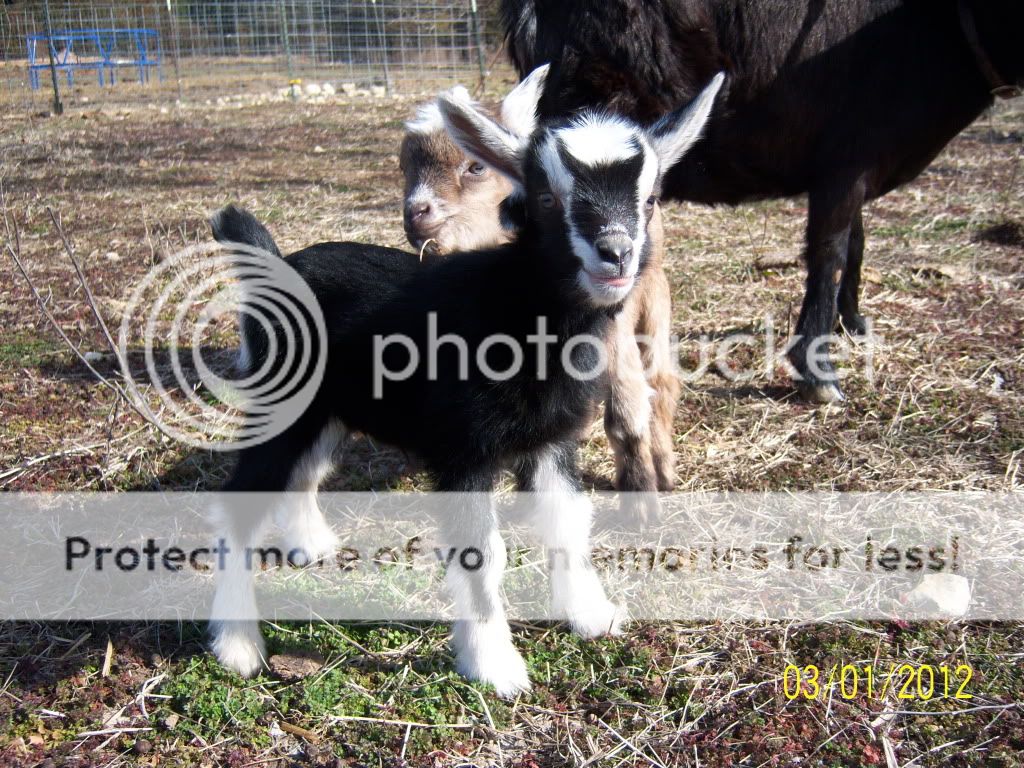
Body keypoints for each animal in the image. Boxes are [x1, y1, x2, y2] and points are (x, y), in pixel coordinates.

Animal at [400, 68, 681, 517]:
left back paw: (664, 469)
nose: (416, 214)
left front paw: (640, 501)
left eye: (475, 167)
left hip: (653, 297)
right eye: (404, 167)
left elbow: (626, 410)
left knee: (662, 378)